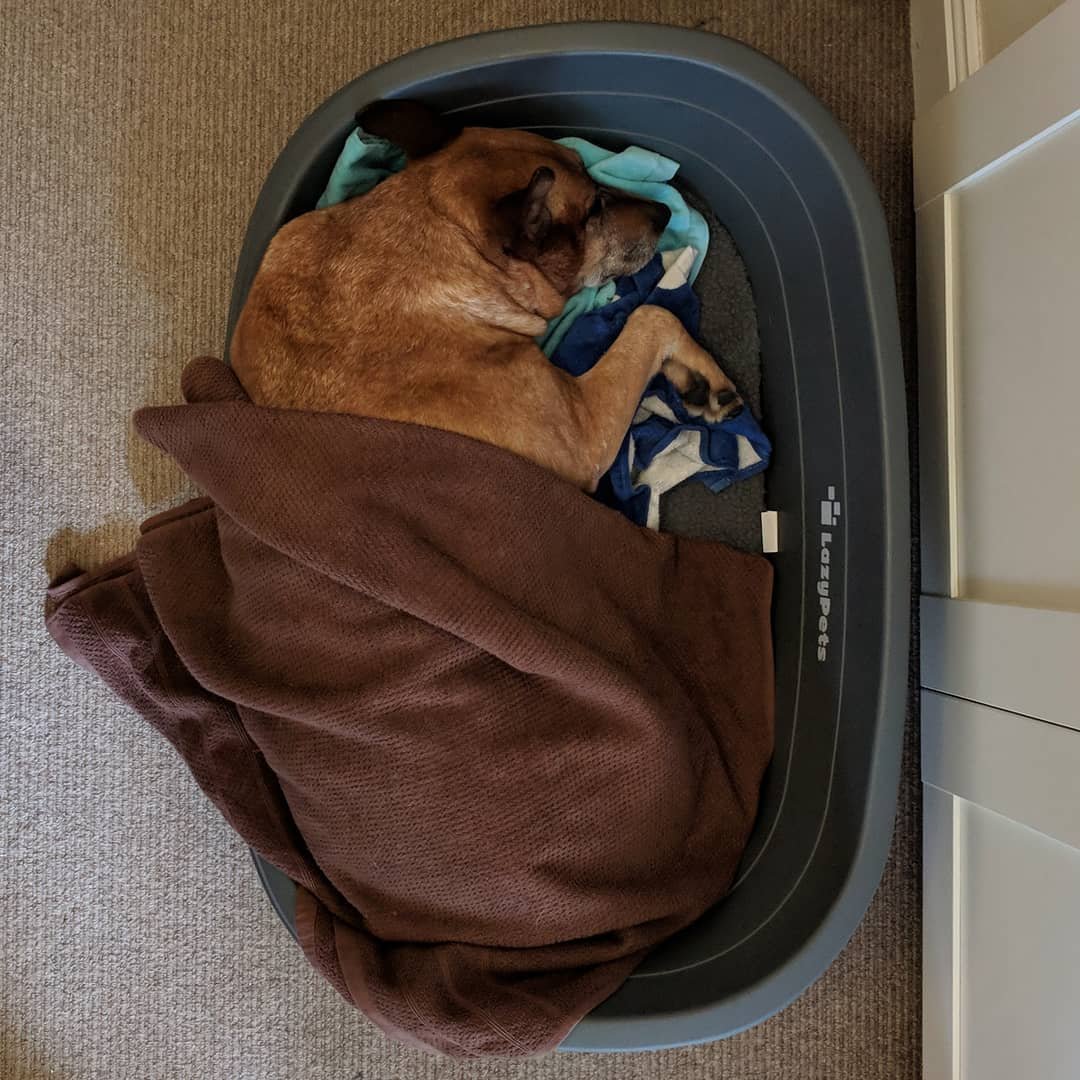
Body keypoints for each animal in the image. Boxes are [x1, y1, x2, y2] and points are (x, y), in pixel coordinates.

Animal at [233, 101, 743, 490]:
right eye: (593, 208)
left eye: (586, 166)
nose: (664, 212)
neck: (444, 237)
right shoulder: (586, 434)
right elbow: (653, 316)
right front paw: (708, 379)